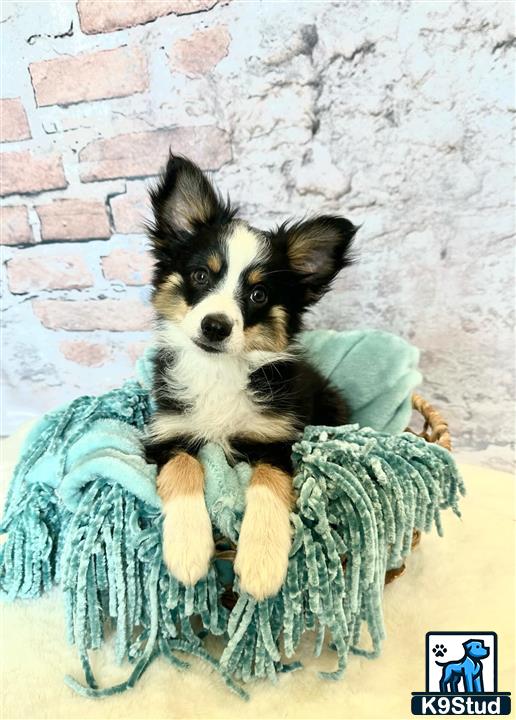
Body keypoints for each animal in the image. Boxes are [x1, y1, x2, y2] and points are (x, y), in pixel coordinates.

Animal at [143, 155, 356, 600]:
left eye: (258, 295)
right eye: (200, 276)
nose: (215, 326)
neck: (219, 369)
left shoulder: (278, 439)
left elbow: (269, 483)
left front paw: (261, 564)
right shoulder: (165, 433)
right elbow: (183, 467)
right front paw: (187, 551)